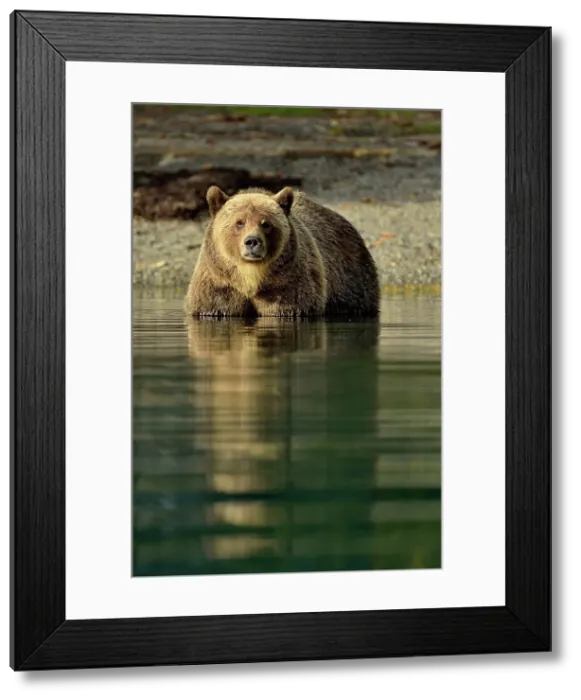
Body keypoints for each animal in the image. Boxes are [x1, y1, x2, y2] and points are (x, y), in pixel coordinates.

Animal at [184, 185, 380, 318]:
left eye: (266, 224)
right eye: (239, 222)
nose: (252, 241)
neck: (250, 278)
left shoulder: (287, 284)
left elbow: (290, 307)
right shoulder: (219, 285)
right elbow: (214, 307)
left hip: (352, 280)